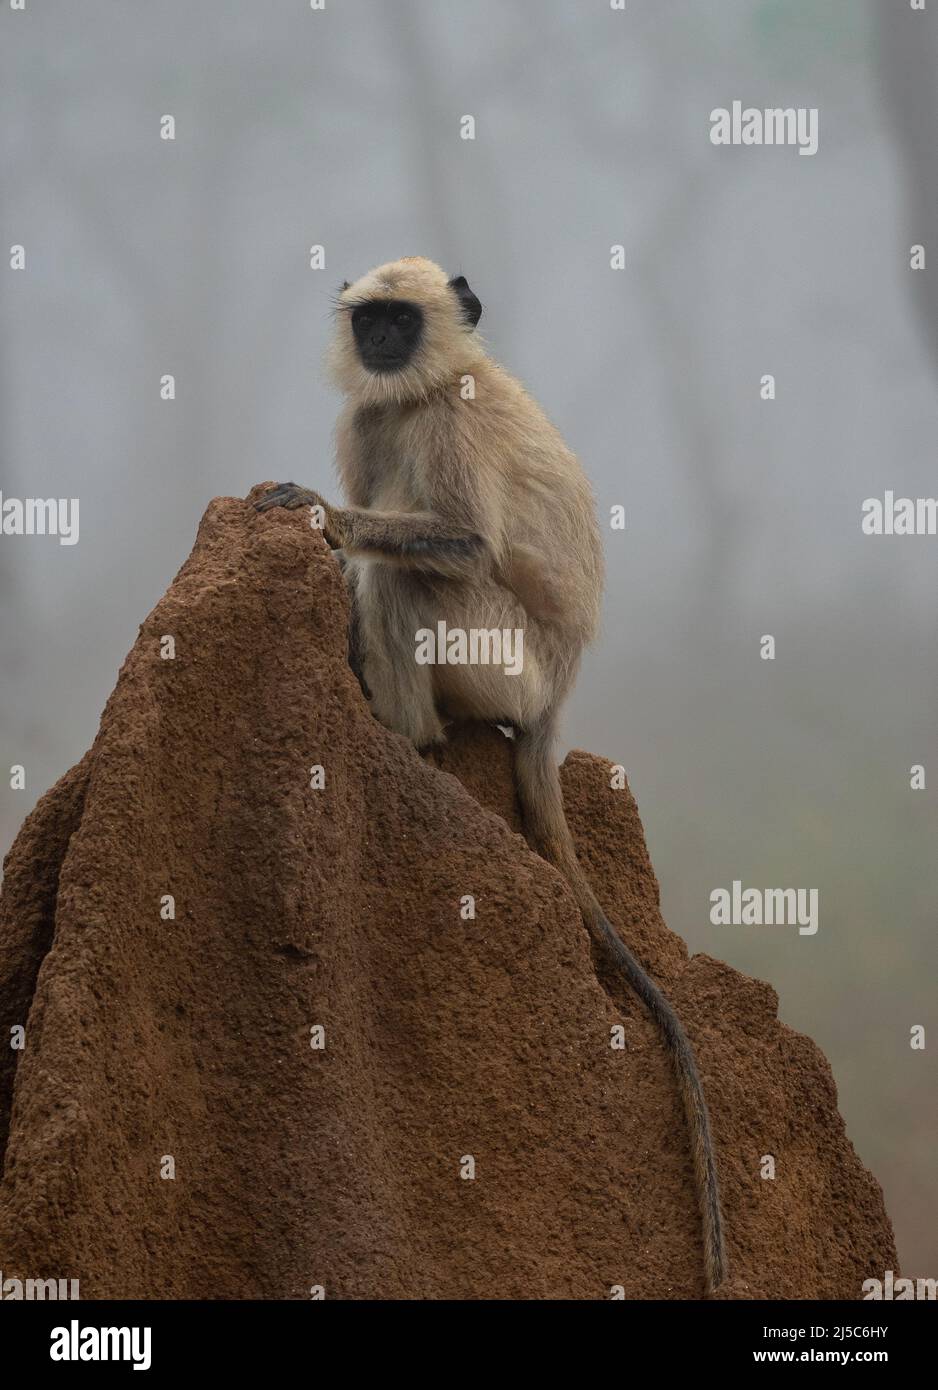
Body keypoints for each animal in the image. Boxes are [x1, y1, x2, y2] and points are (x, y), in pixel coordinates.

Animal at [256, 256, 726, 1295]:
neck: (424, 388)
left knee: (402, 576)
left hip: (502, 660)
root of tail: (560, 695)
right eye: (373, 321)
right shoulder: (369, 420)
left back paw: (407, 735)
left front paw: (313, 513)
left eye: (402, 320)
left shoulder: (450, 418)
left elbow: (467, 541)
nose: (382, 345)